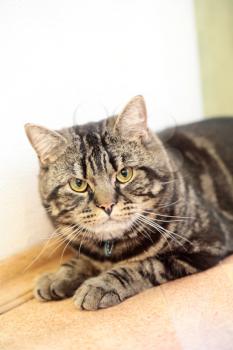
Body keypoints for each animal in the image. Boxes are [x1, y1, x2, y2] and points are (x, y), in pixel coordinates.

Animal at [25, 95, 233, 308]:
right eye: (78, 184)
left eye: (125, 174)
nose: (107, 205)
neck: (112, 250)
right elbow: (82, 260)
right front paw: (58, 276)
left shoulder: (206, 242)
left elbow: (143, 265)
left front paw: (100, 285)